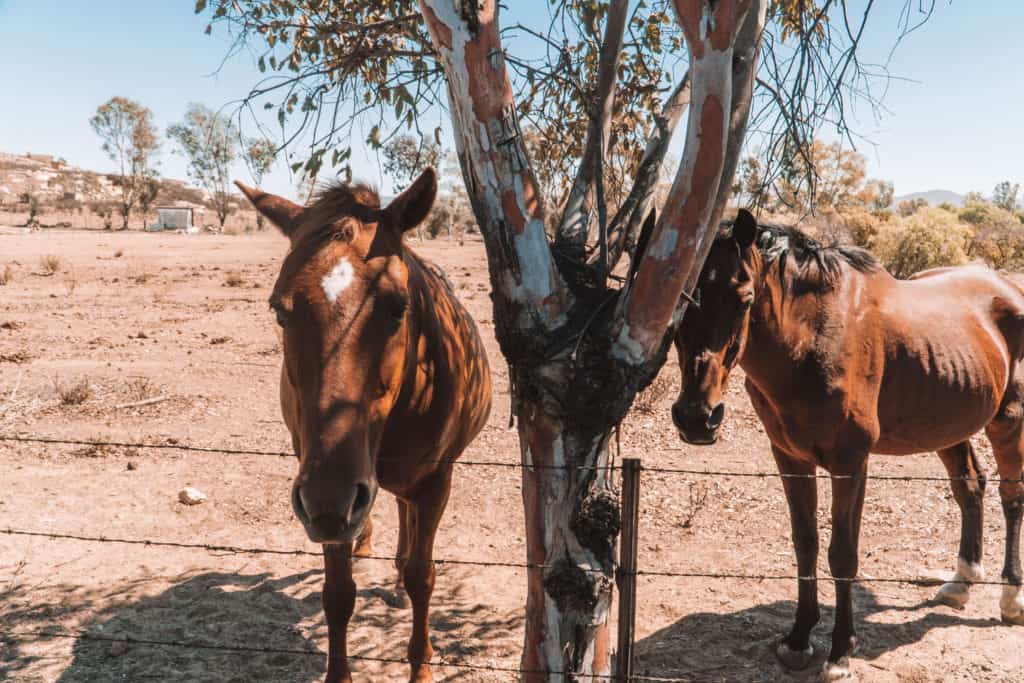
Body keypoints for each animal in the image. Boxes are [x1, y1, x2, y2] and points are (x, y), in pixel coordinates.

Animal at [240, 167, 495, 679]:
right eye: (279, 309)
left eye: (399, 306)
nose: (332, 497)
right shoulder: (323, 494)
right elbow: (338, 595)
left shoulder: (435, 483)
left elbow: (422, 576)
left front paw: (421, 667)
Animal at [671, 210, 1024, 679]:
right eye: (681, 301)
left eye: (744, 298)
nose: (696, 417)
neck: (812, 341)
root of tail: (1007, 285)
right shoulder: (790, 458)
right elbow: (805, 544)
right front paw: (799, 639)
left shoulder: (849, 462)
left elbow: (842, 554)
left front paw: (840, 650)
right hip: (949, 422)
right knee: (970, 486)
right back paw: (961, 581)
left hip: (1009, 420)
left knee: (1012, 496)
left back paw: (1011, 598)